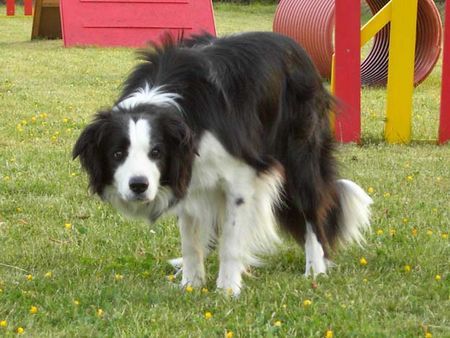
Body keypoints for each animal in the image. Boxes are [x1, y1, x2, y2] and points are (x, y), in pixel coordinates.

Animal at [74, 32, 372, 296]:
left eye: (156, 152)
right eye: (117, 154)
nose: (138, 186)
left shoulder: (240, 177)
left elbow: (231, 240)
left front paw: (228, 289)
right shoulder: (187, 176)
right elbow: (190, 239)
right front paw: (191, 284)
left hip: (300, 150)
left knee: (312, 206)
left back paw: (315, 269)